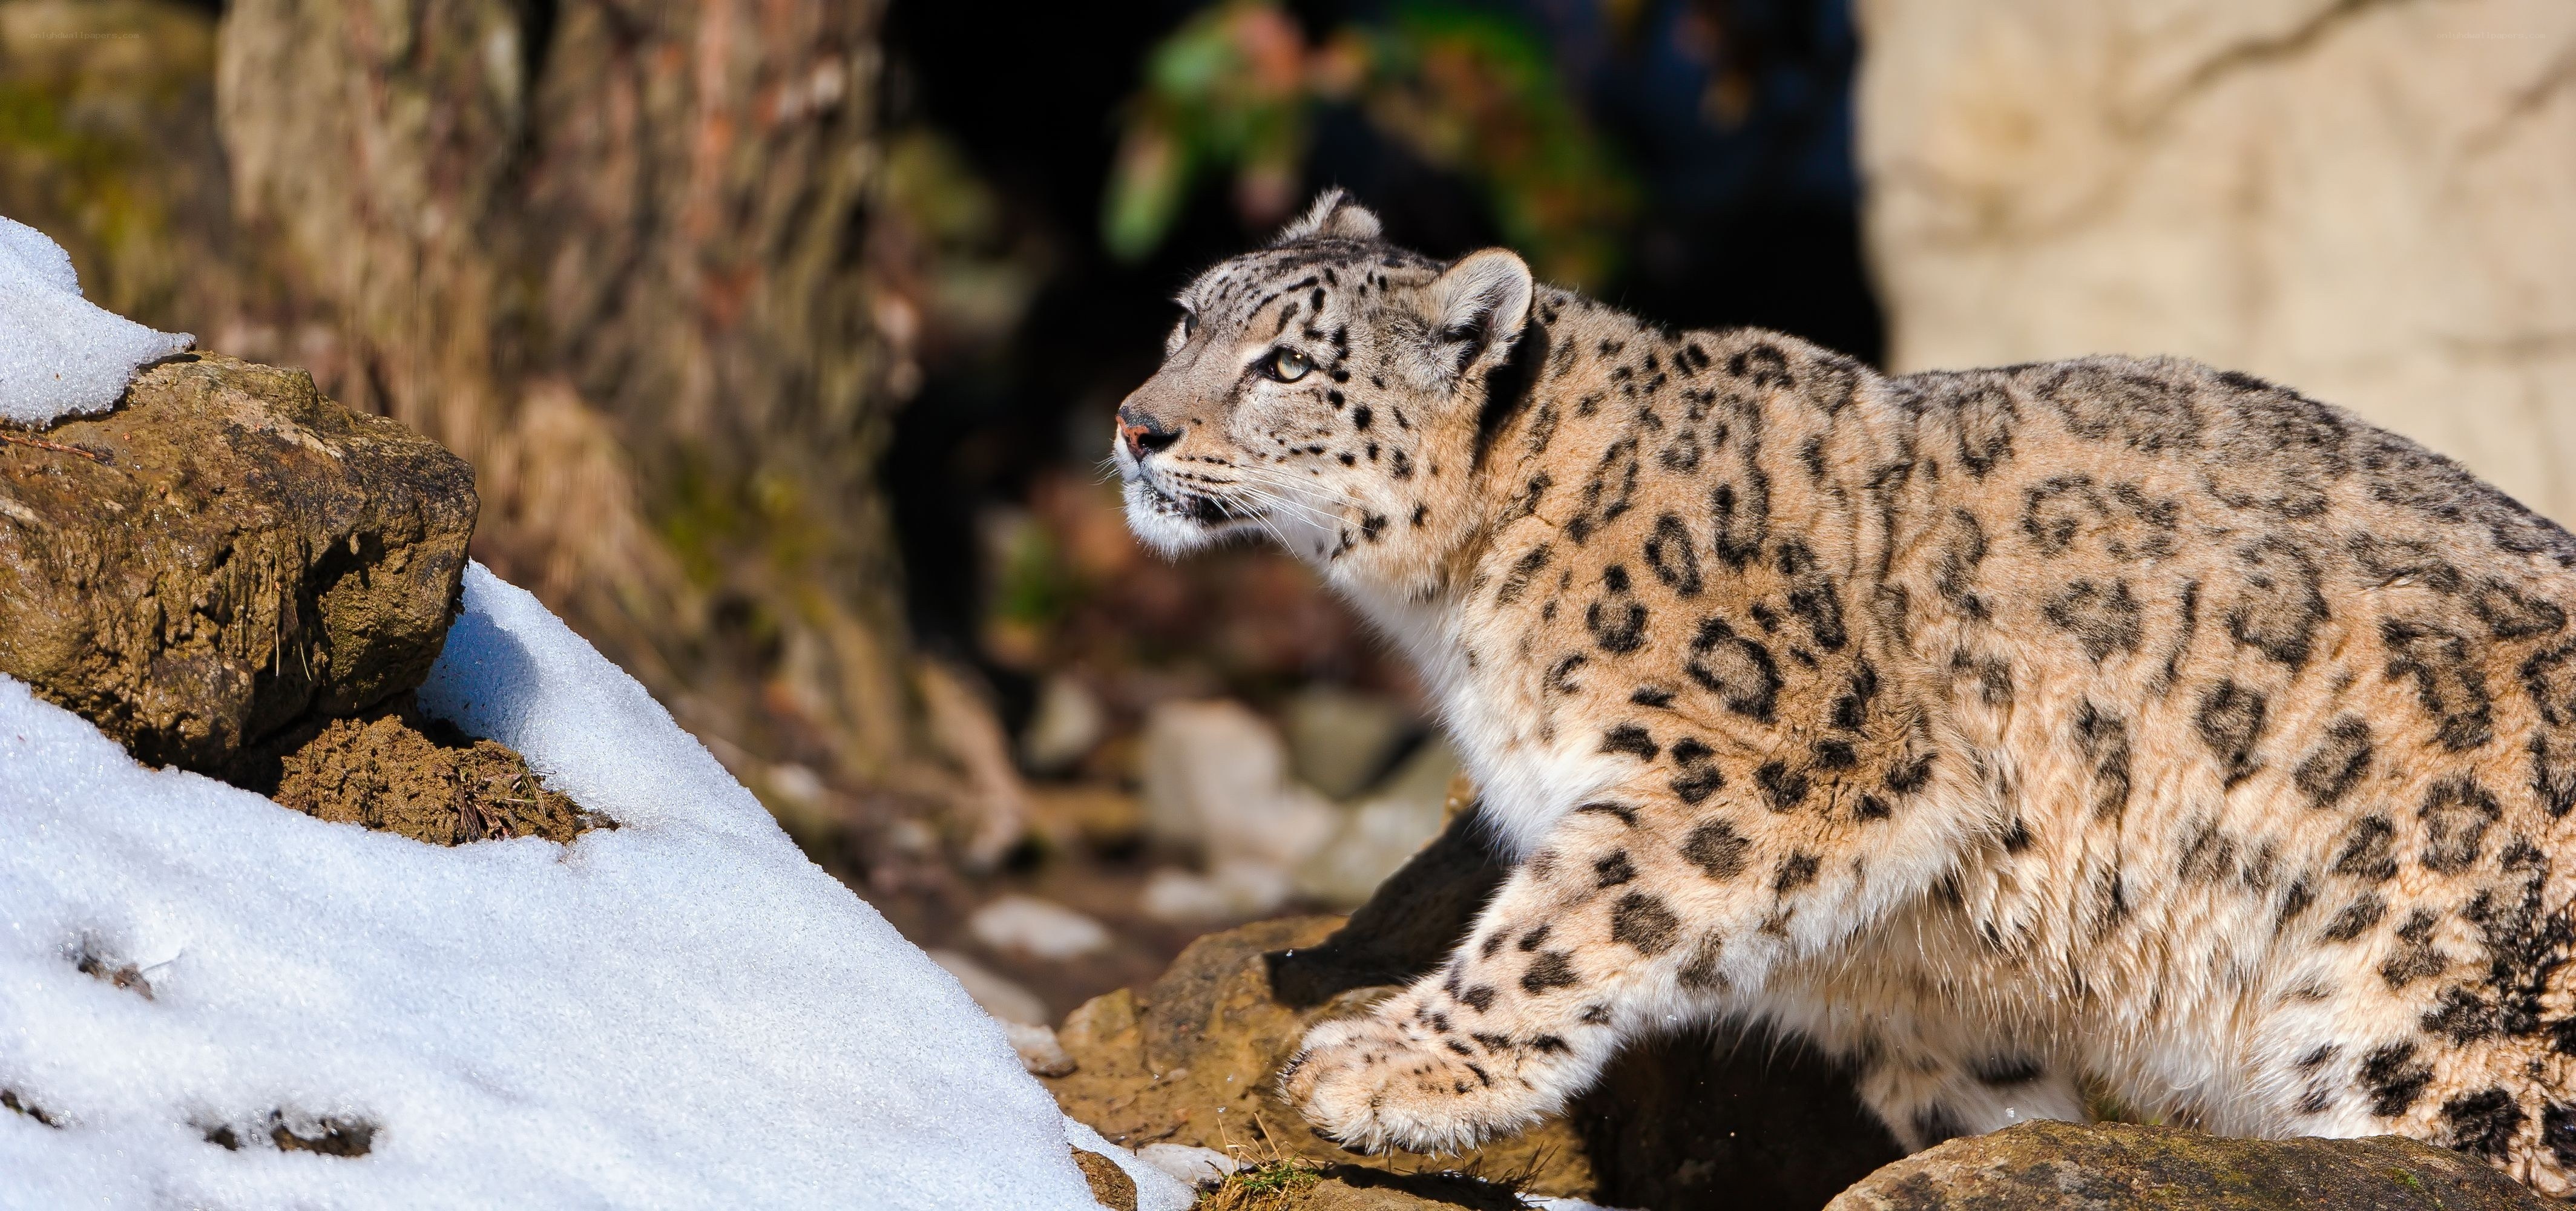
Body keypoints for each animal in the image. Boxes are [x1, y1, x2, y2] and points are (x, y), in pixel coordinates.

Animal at [1111, 189, 2576, 1194]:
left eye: (1289, 364)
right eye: (1185, 317)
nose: (1135, 424)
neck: (1454, 614)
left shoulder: (1775, 768)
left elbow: (1562, 930)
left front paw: (1381, 1070)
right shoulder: (1902, 980)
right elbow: (1980, 1097)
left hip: (2449, 1020)